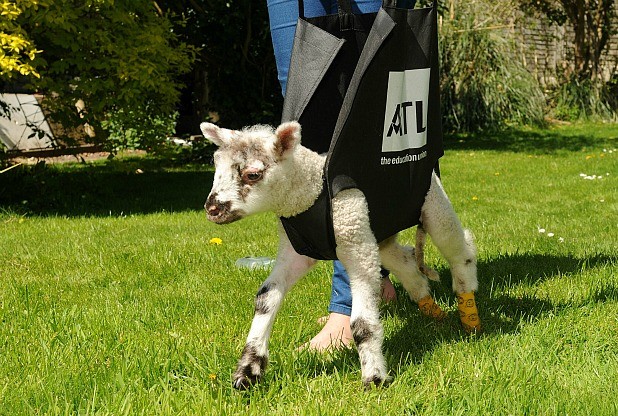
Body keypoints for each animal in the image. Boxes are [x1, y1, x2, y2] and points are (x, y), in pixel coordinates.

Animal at [200, 120, 478, 390]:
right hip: (376, 234)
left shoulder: (356, 245)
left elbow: (362, 324)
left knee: (460, 249)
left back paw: (469, 314)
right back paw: (430, 307)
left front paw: (374, 379)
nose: (212, 209)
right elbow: (265, 298)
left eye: (252, 174)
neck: (310, 193)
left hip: (433, 206)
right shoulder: (295, 251)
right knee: (406, 260)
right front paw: (247, 372)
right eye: (216, 166)